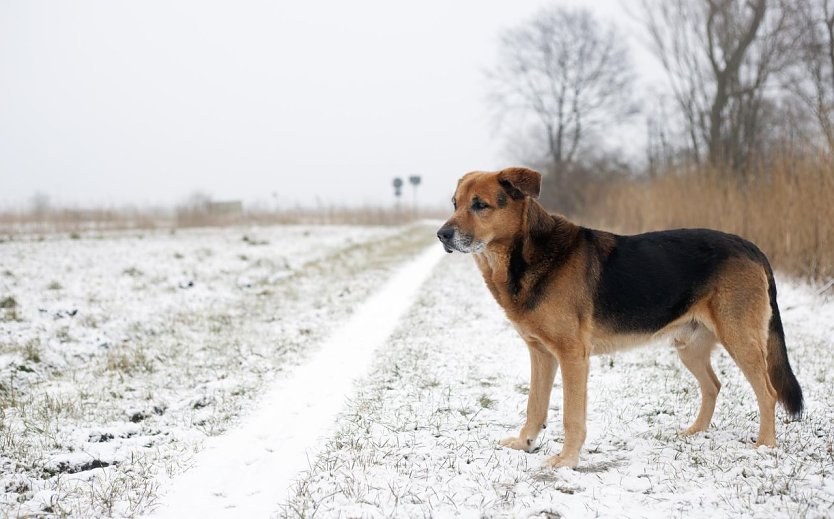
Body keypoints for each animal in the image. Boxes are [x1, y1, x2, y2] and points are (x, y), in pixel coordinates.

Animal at [438, 169, 804, 470]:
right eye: (455, 204)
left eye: (480, 205)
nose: (442, 235)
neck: (524, 254)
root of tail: (750, 246)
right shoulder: (540, 354)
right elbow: (535, 406)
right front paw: (525, 443)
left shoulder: (572, 356)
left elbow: (571, 416)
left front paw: (566, 461)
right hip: (690, 346)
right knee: (713, 386)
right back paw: (694, 433)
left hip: (740, 340)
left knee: (768, 393)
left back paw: (764, 447)